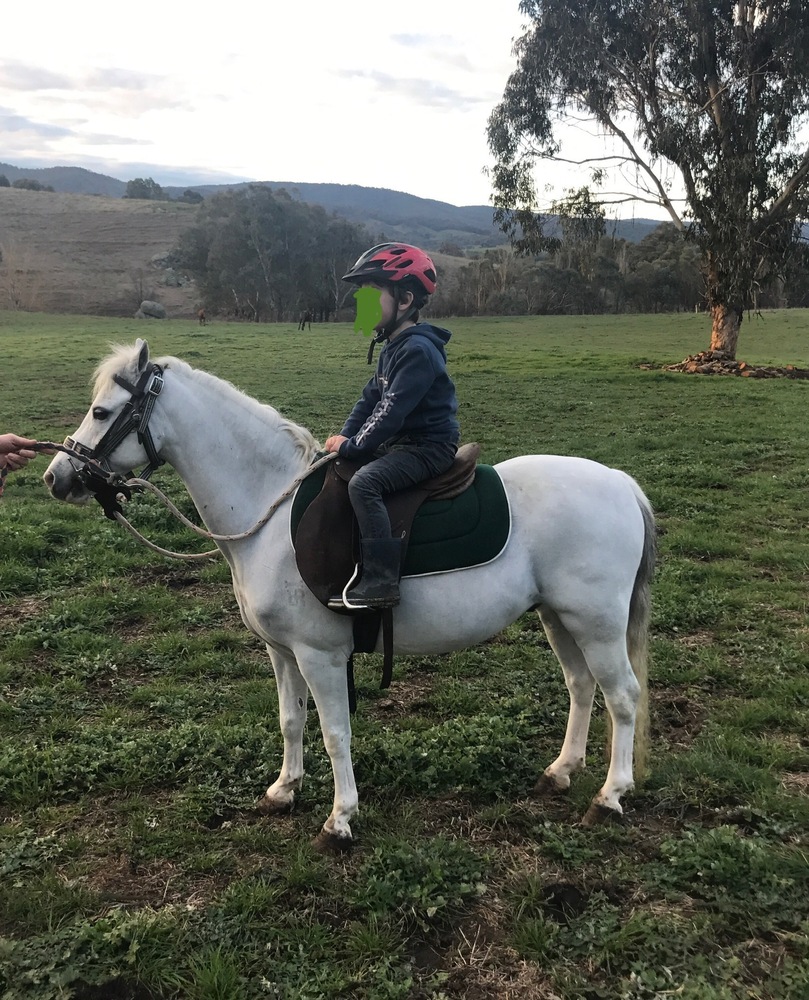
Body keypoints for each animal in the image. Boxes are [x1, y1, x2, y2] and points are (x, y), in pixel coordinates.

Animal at [43, 339, 656, 849]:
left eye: (102, 412)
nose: (55, 477)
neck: (267, 511)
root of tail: (624, 485)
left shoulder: (321, 656)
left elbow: (335, 732)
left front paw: (339, 820)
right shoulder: (282, 652)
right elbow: (291, 720)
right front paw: (283, 790)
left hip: (596, 623)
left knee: (623, 696)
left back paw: (610, 797)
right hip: (559, 617)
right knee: (582, 687)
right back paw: (561, 773)